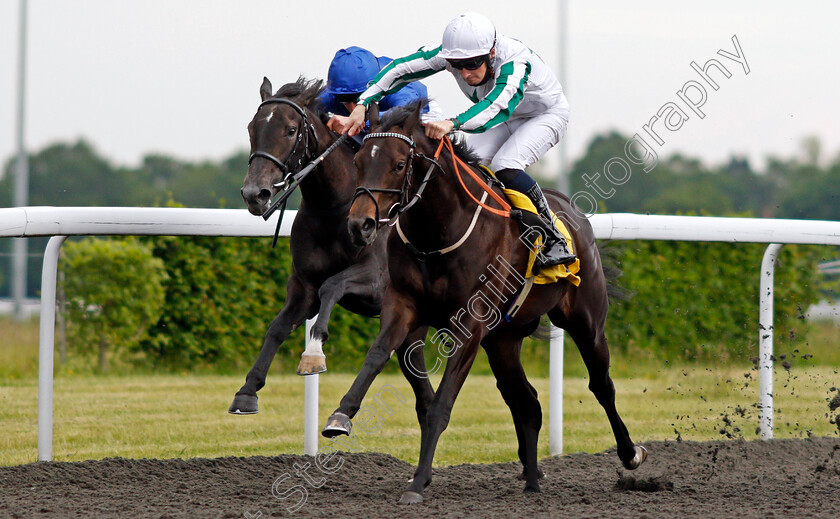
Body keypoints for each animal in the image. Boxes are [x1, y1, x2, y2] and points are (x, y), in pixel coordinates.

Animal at [231, 78, 434, 418]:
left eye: (290, 130)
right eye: (251, 128)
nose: (254, 194)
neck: (332, 209)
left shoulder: (376, 280)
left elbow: (332, 285)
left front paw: (313, 353)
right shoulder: (303, 285)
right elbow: (277, 326)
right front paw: (247, 391)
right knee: (424, 392)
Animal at [324, 101, 648, 504]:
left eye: (399, 164)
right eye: (357, 162)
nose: (361, 226)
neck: (438, 231)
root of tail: (573, 213)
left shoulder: (470, 326)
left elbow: (440, 405)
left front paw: (417, 482)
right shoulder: (403, 306)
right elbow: (377, 354)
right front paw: (341, 416)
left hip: (586, 322)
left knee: (601, 386)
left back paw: (630, 453)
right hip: (502, 342)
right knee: (528, 403)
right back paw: (532, 480)